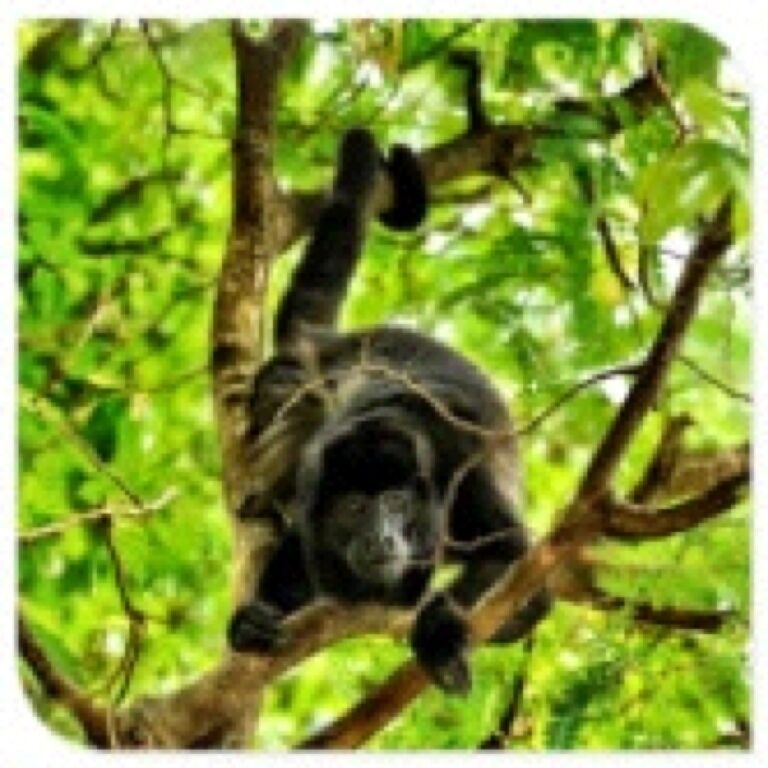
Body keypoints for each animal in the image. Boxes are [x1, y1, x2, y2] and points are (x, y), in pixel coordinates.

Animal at [226, 127, 550, 694]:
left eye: (397, 502)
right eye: (356, 507)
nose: (382, 536)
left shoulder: (456, 467)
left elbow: (509, 549)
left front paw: (439, 627)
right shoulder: (316, 477)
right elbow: (297, 558)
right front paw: (251, 621)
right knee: (280, 394)